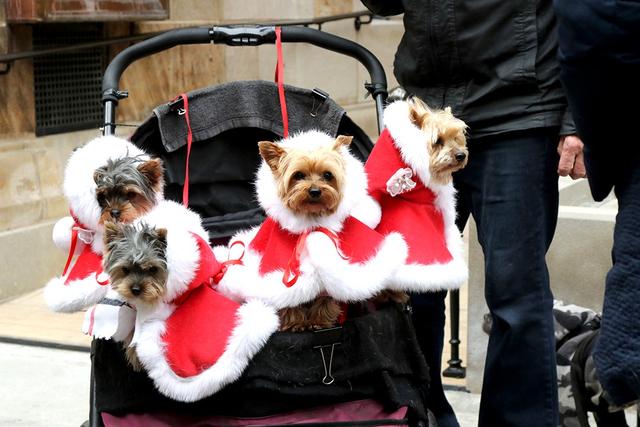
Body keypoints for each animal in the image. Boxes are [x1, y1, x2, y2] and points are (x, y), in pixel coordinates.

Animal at [258, 136, 352, 332]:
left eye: (328, 175)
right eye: (298, 175)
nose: (315, 191)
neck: (310, 220)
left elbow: (325, 299)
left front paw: (320, 321)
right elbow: (290, 301)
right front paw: (296, 323)